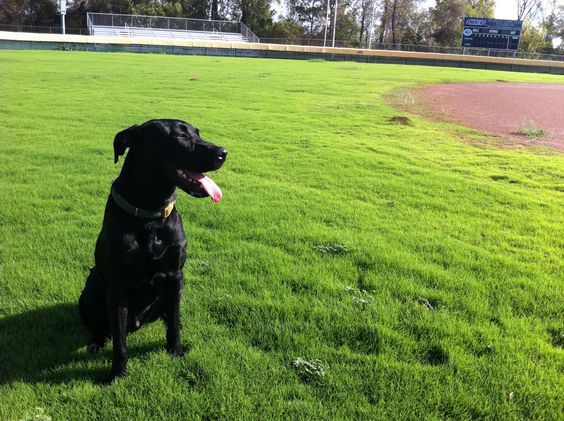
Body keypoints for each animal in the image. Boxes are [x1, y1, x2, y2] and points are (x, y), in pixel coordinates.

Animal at [77, 119, 227, 384]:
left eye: (197, 133)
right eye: (180, 136)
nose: (223, 153)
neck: (151, 217)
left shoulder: (176, 276)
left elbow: (173, 324)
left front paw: (175, 351)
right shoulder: (117, 287)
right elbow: (119, 342)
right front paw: (116, 374)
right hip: (91, 286)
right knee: (100, 325)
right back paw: (96, 342)